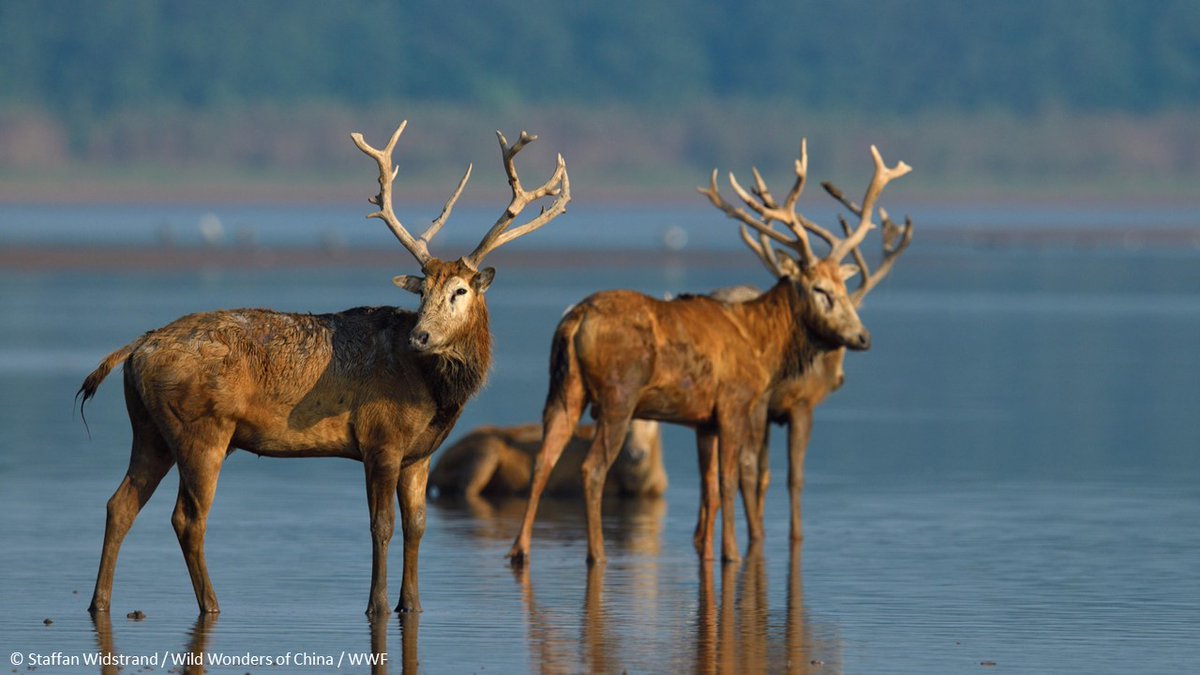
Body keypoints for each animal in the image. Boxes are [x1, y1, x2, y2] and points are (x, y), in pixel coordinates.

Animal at [76, 120, 570, 617]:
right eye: (423, 291)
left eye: (460, 290)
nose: (421, 336)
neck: (435, 394)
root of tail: (138, 347)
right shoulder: (380, 438)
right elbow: (381, 525)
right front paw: (376, 605)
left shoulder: (419, 453)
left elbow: (418, 525)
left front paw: (412, 605)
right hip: (201, 429)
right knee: (187, 517)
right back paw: (212, 604)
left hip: (150, 430)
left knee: (120, 504)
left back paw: (100, 601)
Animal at [429, 419, 666, 499]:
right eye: (626, 425)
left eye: (651, 422)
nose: (636, 452)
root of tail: (436, 466)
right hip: (487, 449)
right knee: (466, 489)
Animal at [707, 185, 914, 546]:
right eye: (822, 291)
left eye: (845, 292)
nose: (864, 337)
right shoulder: (801, 403)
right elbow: (794, 477)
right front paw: (796, 535)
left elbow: (766, 474)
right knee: (743, 466)